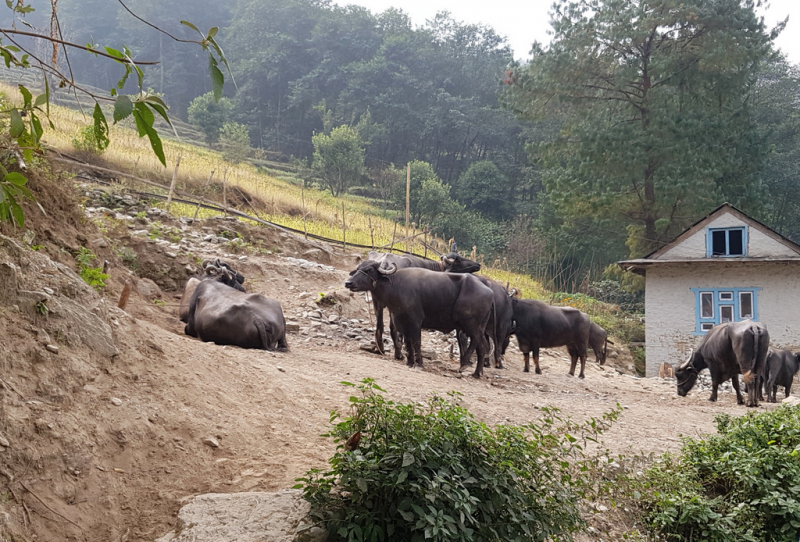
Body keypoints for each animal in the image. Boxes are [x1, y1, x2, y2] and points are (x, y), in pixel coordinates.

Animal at [344, 262, 494, 378]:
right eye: (358, 269)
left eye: (368, 270)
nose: (348, 282)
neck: (396, 286)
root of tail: (490, 291)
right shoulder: (402, 322)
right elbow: (408, 343)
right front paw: (409, 362)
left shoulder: (415, 322)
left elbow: (417, 342)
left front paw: (419, 364)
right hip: (479, 326)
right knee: (482, 347)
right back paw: (477, 373)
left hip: (471, 324)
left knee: (476, 341)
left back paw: (464, 365)